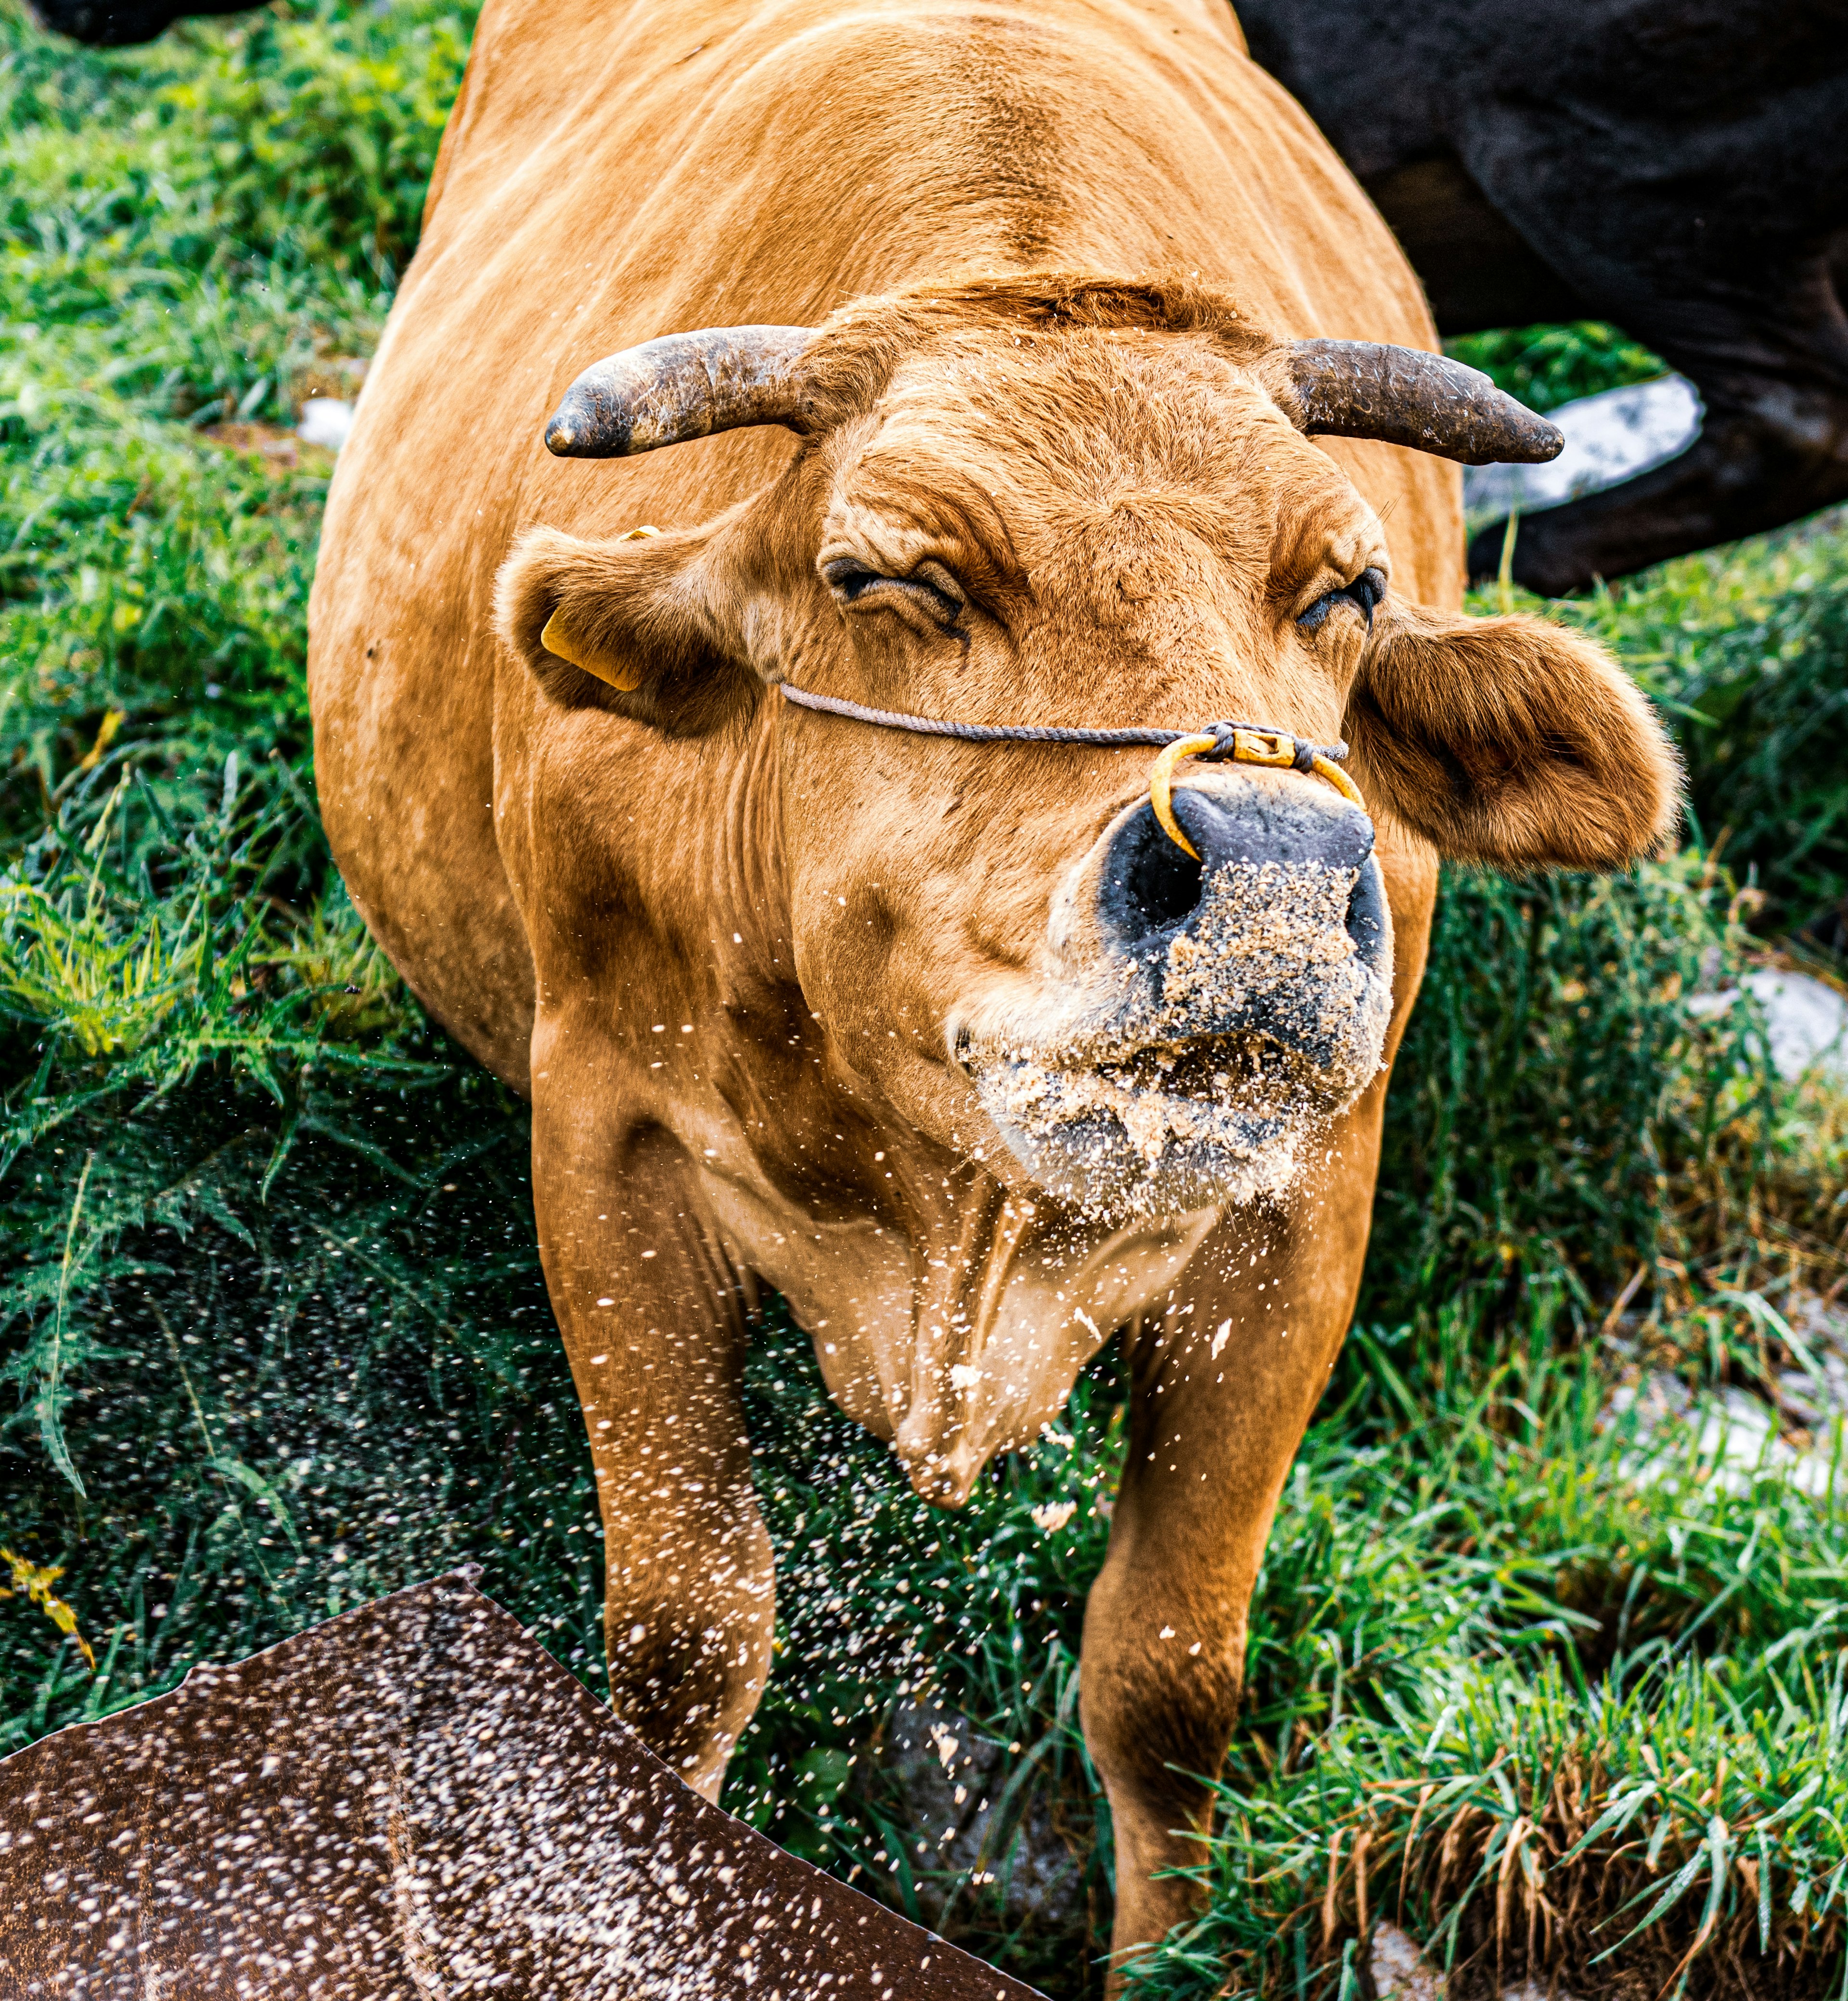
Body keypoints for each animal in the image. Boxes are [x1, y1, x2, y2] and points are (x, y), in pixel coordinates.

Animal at [310, 0, 1680, 1969]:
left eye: (1345, 586)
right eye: (884, 572)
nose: (1269, 878)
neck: (963, 1228)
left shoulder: (1304, 1211)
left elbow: (1167, 1668)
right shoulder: (605, 1134)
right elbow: (685, 1632)